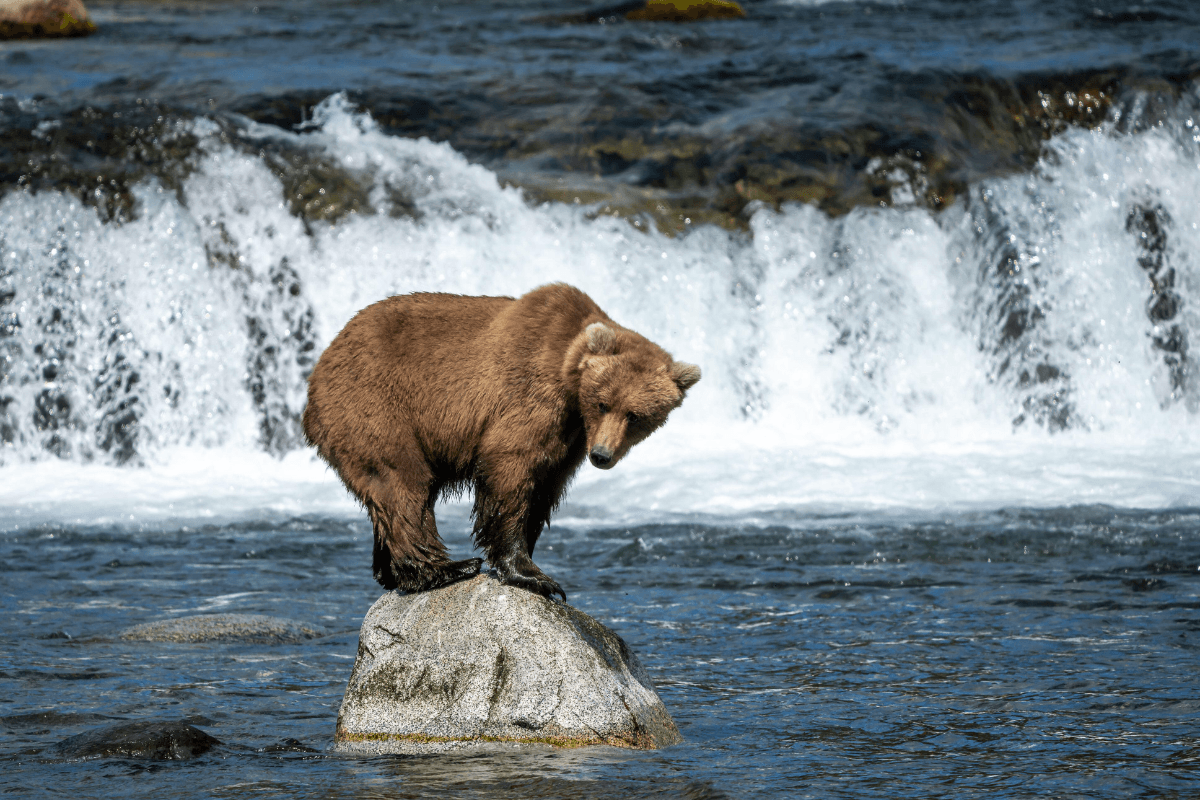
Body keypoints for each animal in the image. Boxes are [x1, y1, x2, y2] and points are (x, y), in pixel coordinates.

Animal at [302, 283, 700, 601]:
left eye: (636, 415)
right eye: (603, 403)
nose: (601, 455)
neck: (569, 377)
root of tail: (319, 367)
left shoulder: (570, 441)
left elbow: (544, 487)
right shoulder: (531, 394)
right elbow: (512, 465)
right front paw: (533, 575)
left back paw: (392, 571)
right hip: (375, 404)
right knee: (402, 482)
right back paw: (446, 568)